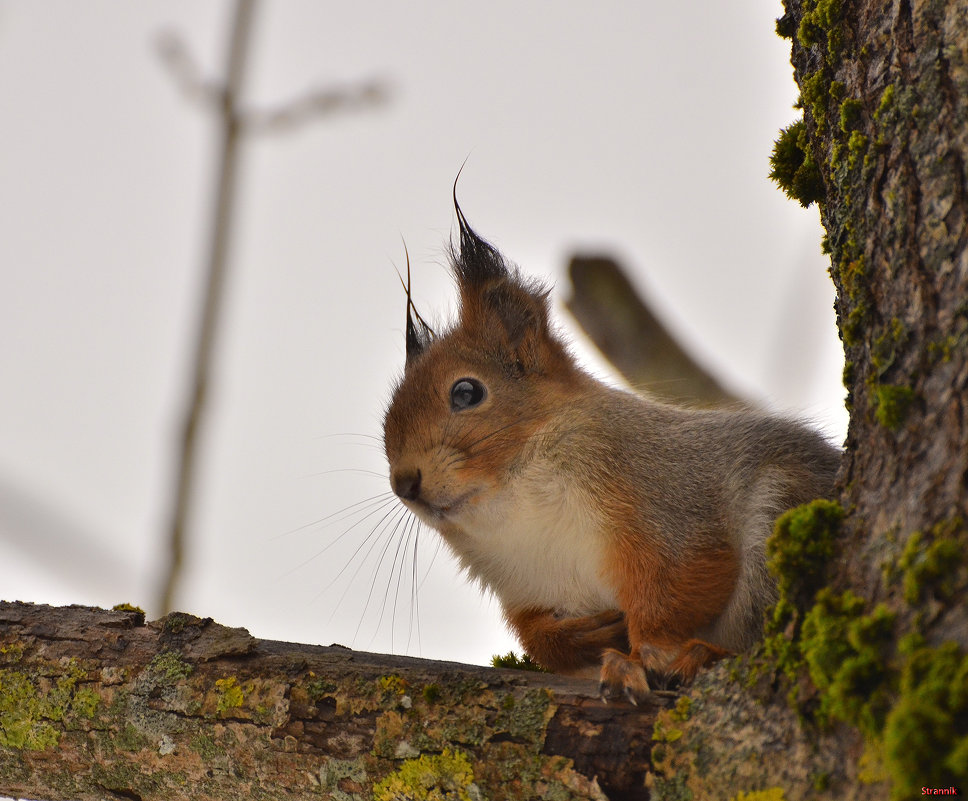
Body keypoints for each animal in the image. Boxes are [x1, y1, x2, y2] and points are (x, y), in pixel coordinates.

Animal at [380, 192, 840, 700]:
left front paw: (648, 653)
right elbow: (539, 639)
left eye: (466, 392)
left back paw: (704, 656)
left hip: (780, 515)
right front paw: (580, 637)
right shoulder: (526, 589)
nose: (404, 483)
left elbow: (679, 583)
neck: (515, 496)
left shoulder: (668, 500)